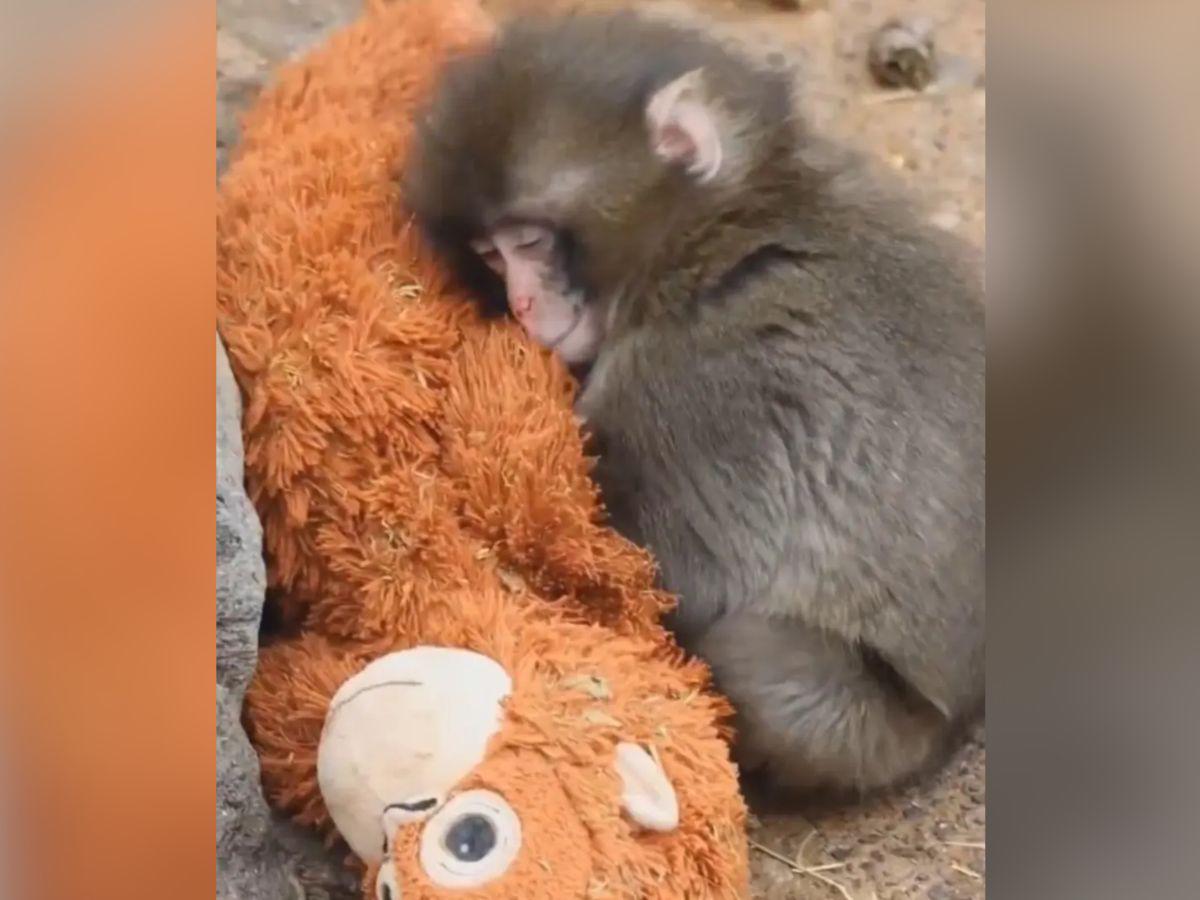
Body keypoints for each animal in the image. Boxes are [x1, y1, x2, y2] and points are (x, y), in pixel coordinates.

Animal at [404, 11, 984, 797]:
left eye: (530, 241)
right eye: (491, 256)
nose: (521, 304)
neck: (716, 232)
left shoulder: (691, 385)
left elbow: (673, 573)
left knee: (750, 653)